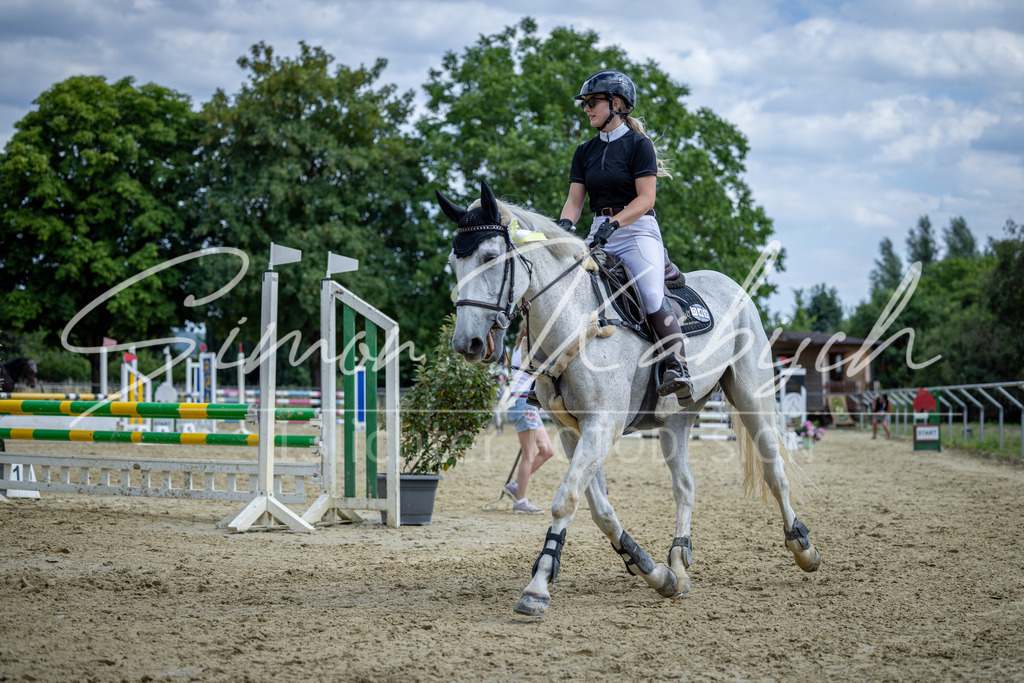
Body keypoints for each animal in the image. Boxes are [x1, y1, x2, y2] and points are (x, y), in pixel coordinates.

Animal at [438, 180, 820, 616]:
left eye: (489, 257)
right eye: (454, 263)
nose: (467, 343)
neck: (575, 320)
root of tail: (732, 285)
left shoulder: (602, 426)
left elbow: (566, 499)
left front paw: (537, 587)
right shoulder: (574, 432)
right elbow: (598, 508)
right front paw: (652, 571)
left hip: (751, 398)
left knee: (775, 470)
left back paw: (802, 547)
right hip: (676, 422)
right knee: (685, 485)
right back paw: (678, 562)